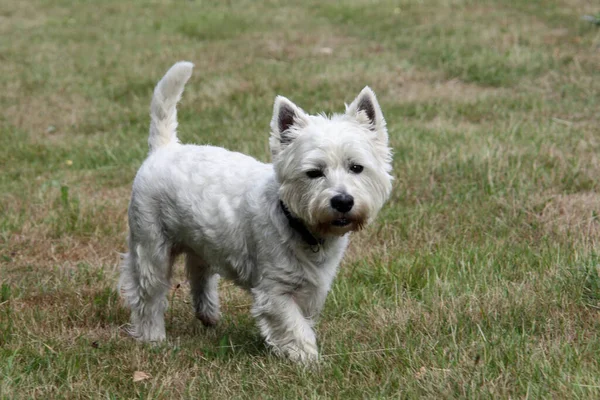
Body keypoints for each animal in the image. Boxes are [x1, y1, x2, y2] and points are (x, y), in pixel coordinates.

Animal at [120, 61, 394, 362]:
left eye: (356, 167)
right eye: (313, 172)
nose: (343, 201)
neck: (296, 223)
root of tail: (165, 148)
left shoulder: (314, 285)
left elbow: (303, 318)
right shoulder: (274, 288)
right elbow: (294, 324)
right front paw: (308, 360)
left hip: (199, 239)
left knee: (199, 271)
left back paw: (208, 314)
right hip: (151, 243)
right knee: (148, 292)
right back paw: (154, 337)